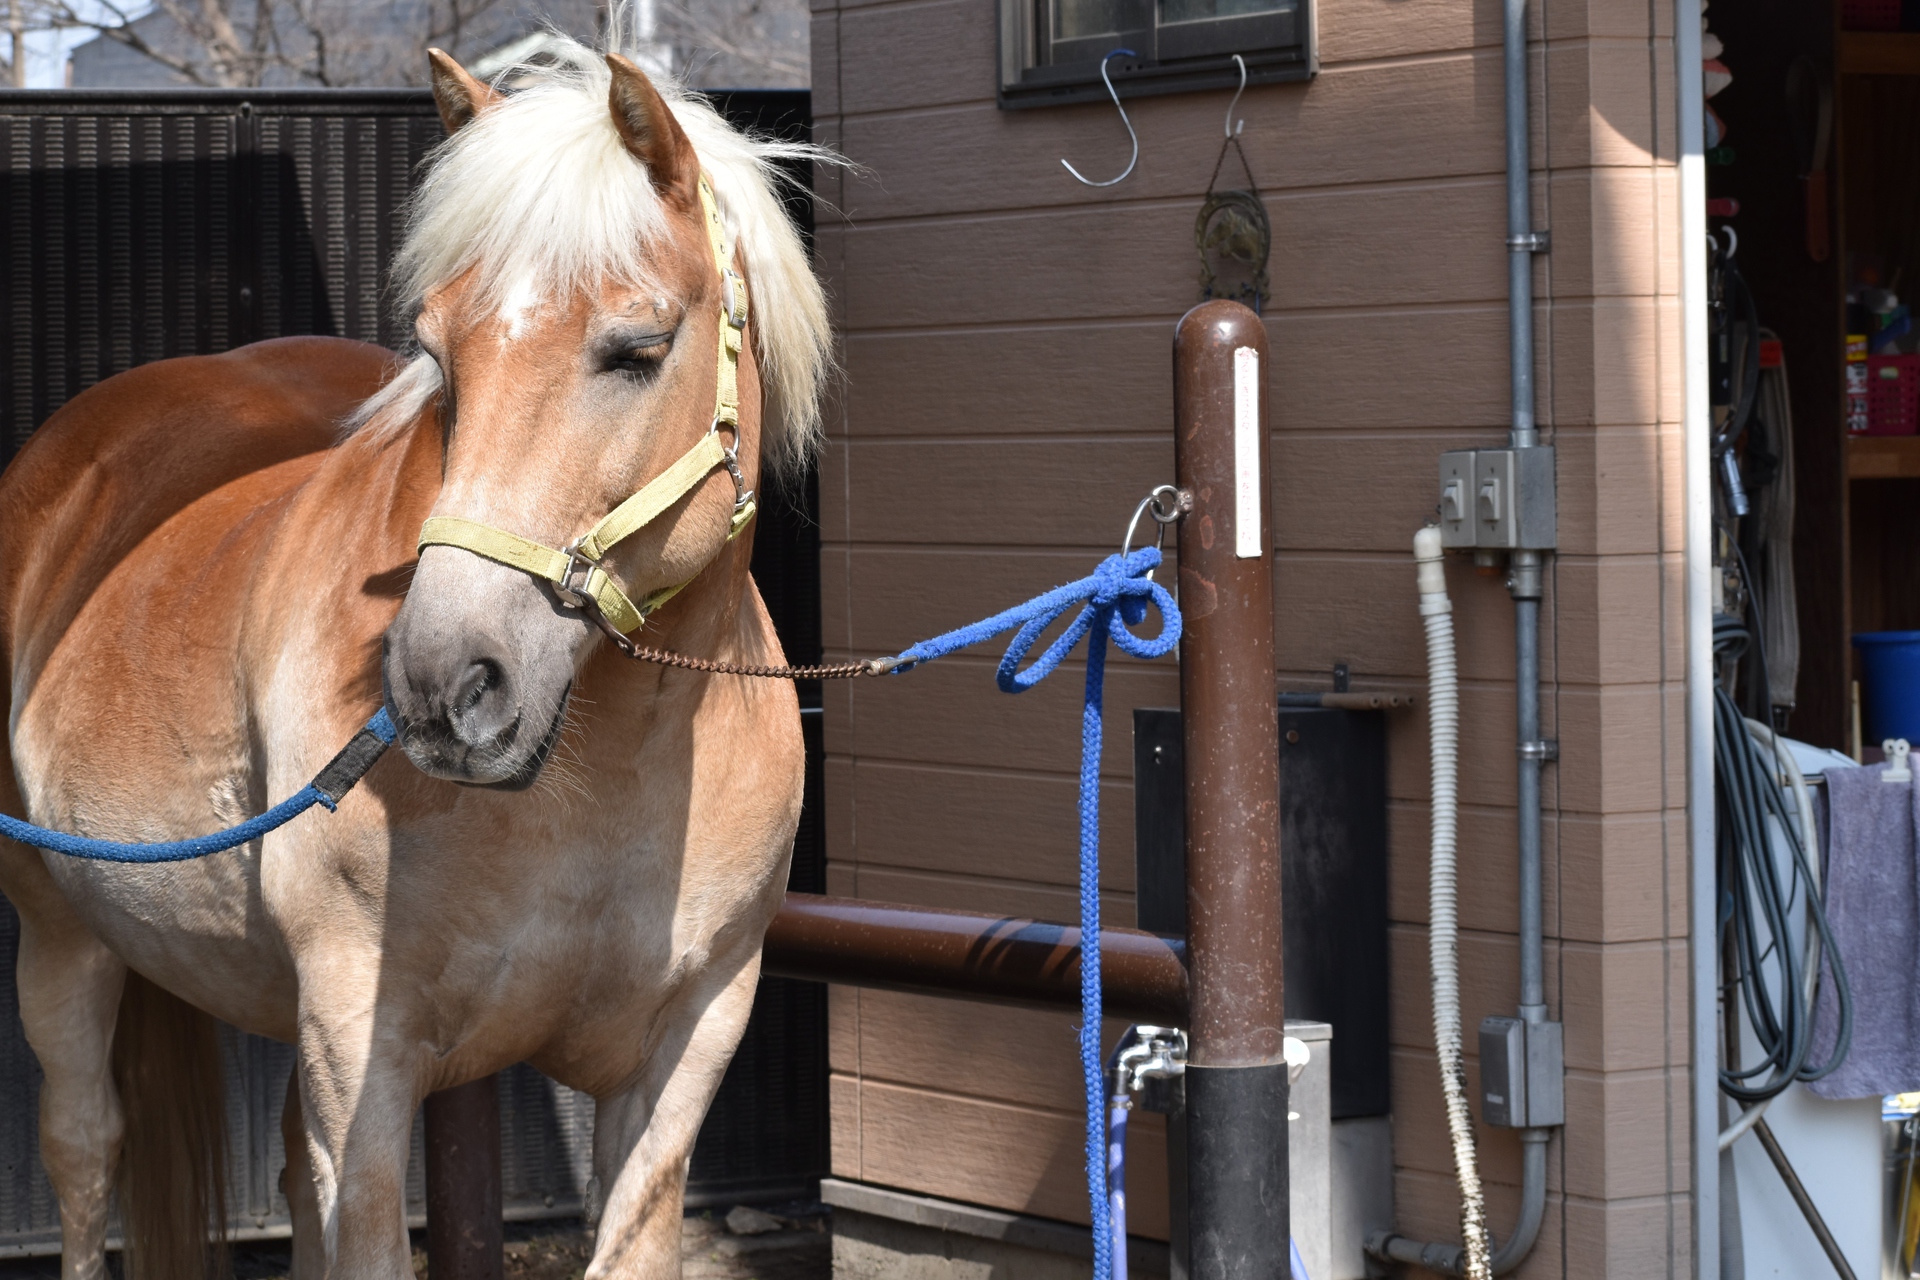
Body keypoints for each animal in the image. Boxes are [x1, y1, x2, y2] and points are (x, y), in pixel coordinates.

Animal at [0, 32, 825, 1280]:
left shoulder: (685, 1053)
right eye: (440, 356)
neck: (612, 773)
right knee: (85, 1153)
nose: (445, 686)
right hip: (61, 934)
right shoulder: (362, 1053)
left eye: (636, 349)